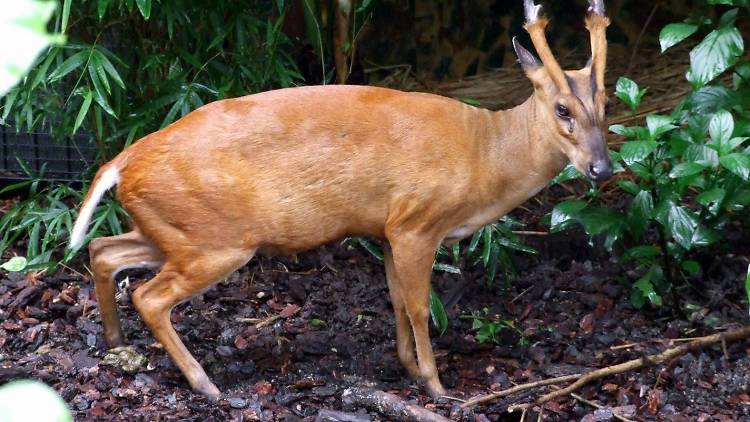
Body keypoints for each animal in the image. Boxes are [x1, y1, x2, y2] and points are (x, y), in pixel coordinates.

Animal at [69, 0, 612, 400]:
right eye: (562, 109)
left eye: (607, 104)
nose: (601, 169)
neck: (486, 153)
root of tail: (125, 160)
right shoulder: (417, 221)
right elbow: (419, 305)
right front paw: (437, 386)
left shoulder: (389, 228)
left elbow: (395, 298)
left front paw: (408, 368)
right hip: (215, 239)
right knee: (149, 295)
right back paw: (206, 385)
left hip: (174, 229)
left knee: (103, 250)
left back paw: (116, 344)